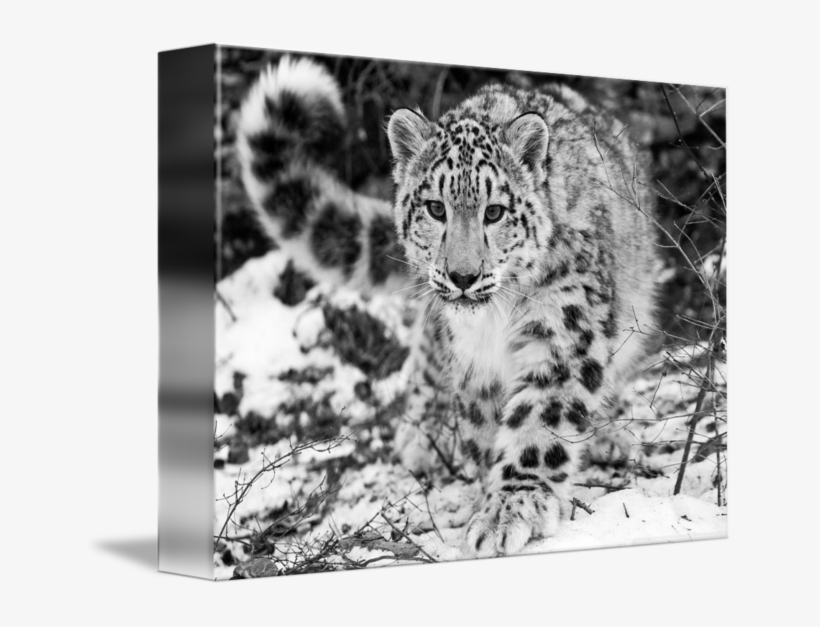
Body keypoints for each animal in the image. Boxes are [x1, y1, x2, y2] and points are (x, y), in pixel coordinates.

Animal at [235, 55, 658, 558]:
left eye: (494, 212)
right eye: (436, 208)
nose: (462, 276)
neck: (495, 322)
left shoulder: (562, 332)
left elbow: (540, 421)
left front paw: (509, 509)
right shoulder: (474, 363)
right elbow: (485, 430)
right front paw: (487, 498)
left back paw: (610, 435)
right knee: (426, 352)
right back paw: (423, 434)